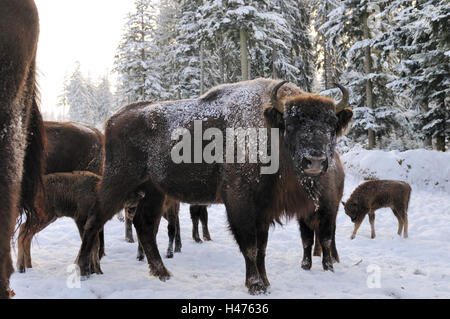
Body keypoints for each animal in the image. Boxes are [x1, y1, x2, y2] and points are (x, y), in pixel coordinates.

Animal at [76, 77, 352, 296]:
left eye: (331, 125)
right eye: (293, 123)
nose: (315, 160)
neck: (270, 129)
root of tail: (112, 120)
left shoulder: (263, 209)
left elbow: (262, 248)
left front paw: (266, 283)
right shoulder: (240, 202)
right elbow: (250, 246)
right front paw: (255, 286)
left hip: (153, 191)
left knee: (144, 227)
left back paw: (163, 273)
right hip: (118, 182)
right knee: (95, 220)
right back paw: (83, 270)